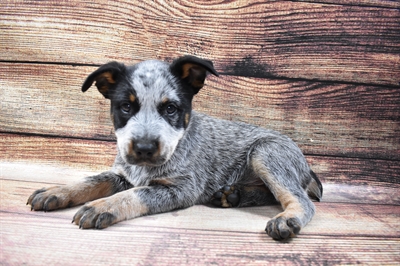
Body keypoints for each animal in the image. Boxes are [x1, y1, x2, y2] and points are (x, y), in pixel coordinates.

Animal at [27, 55, 322, 240]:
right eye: (126, 106)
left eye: (170, 109)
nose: (144, 148)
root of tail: (307, 167)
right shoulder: (122, 175)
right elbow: (90, 181)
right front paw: (56, 191)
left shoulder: (181, 188)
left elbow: (137, 194)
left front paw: (102, 206)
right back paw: (234, 195)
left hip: (265, 153)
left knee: (300, 200)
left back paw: (286, 219)